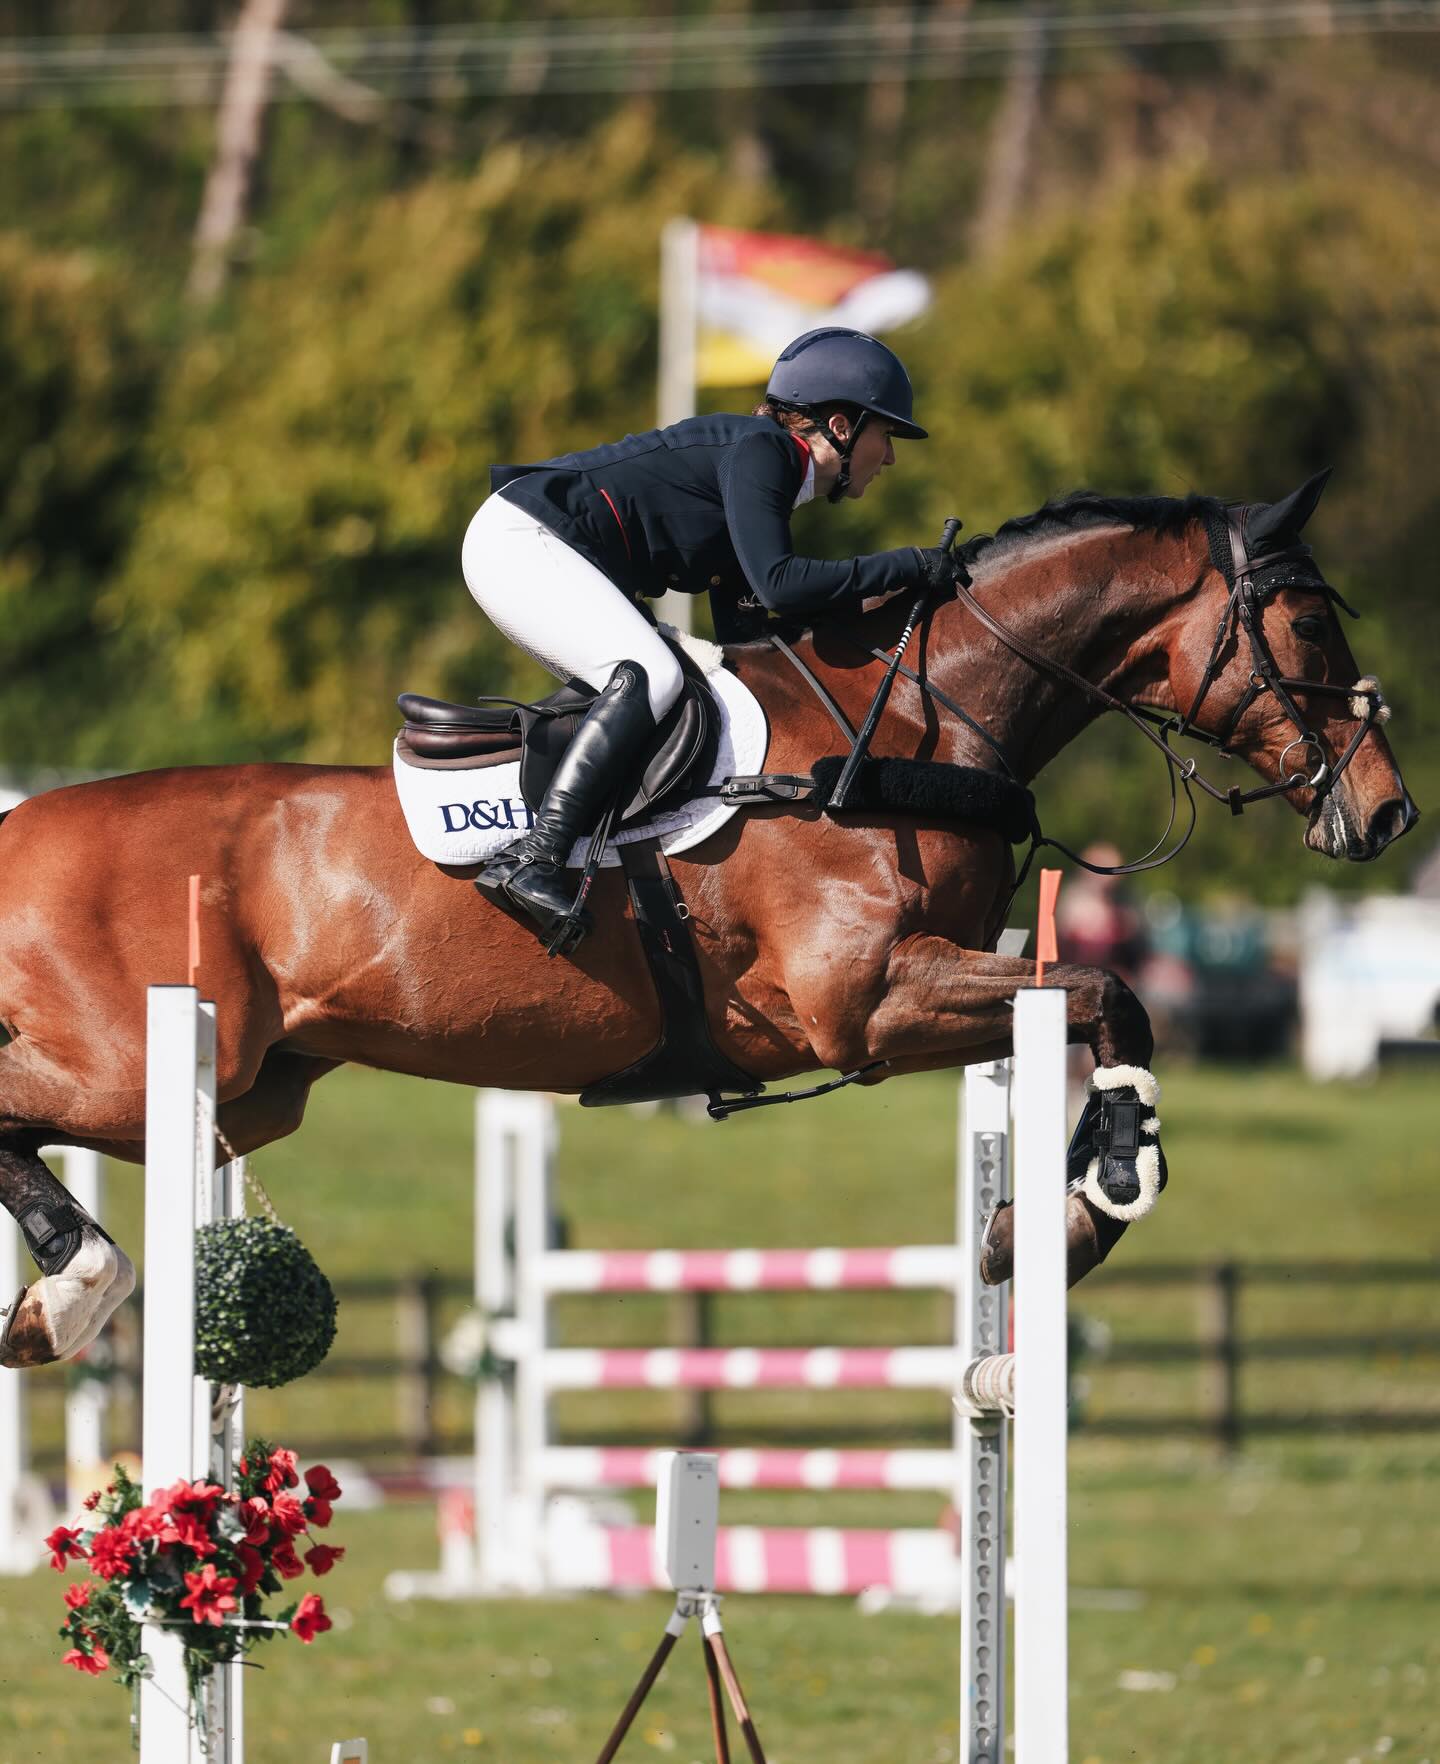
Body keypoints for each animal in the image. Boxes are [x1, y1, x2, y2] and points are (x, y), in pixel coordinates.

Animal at [0, 471, 1415, 1370]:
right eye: (1305, 620)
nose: (1388, 813)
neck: (909, 732)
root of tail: (19, 825)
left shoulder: (937, 991)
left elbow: (1090, 1015)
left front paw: (1045, 1219)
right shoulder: (869, 1004)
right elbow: (1113, 998)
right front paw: (1092, 1201)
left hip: (248, 1092)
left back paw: (56, 1293)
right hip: (148, 1065)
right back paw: (72, 1288)